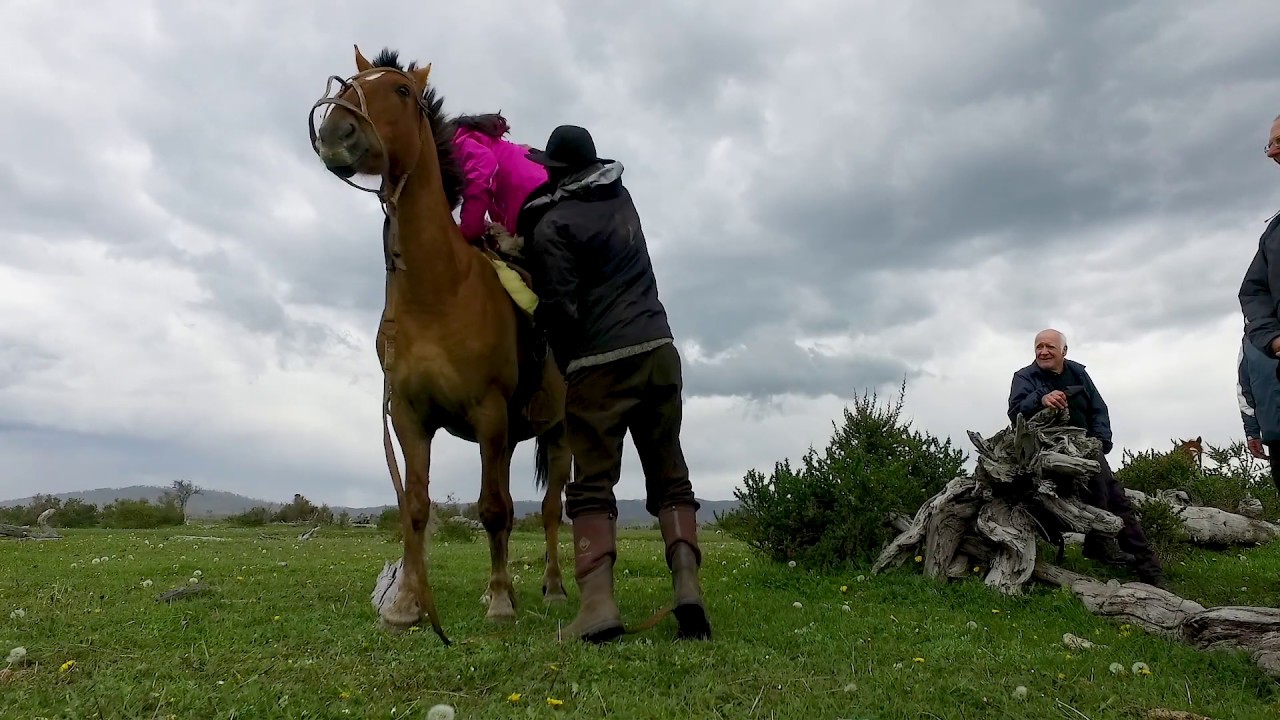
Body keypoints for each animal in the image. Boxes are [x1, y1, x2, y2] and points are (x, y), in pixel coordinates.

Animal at [308, 45, 572, 643]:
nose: (335, 134)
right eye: (350, 83)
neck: (438, 292)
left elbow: (493, 509)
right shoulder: (410, 416)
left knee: (547, 510)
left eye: (402, 91)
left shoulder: (489, 411)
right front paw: (408, 605)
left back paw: (550, 587)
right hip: (510, 438)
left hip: (558, 433)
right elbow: (416, 507)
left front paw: (499, 604)